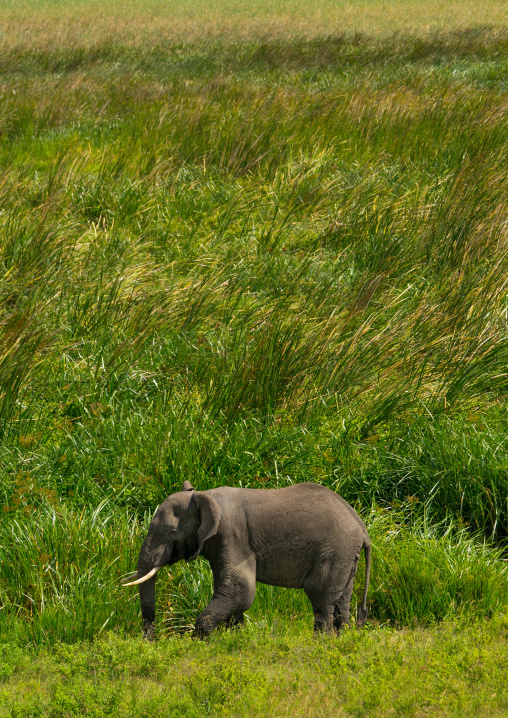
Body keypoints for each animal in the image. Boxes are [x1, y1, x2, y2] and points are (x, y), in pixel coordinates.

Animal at [123, 481, 371, 640]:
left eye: (171, 532)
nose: (150, 642)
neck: (205, 495)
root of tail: (361, 527)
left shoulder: (232, 536)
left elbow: (240, 590)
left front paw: (203, 643)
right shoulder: (217, 543)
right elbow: (232, 593)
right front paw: (237, 640)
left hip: (334, 553)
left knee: (321, 599)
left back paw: (321, 645)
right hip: (346, 557)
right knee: (341, 601)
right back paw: (340, 642)